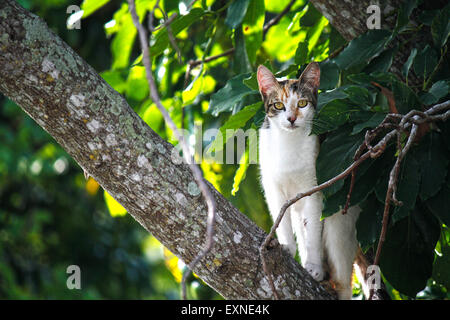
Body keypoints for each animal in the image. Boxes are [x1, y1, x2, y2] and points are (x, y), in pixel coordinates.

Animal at [256, 62, 362, 300]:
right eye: (278, 105)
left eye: (302, 104)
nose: (292, 119)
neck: (288, 143)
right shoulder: (273, 188)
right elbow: (282, 220)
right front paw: (285, 246)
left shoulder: (314, 189)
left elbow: (313, 231)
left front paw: (313, 267)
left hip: (341, 221)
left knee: (344, 281)